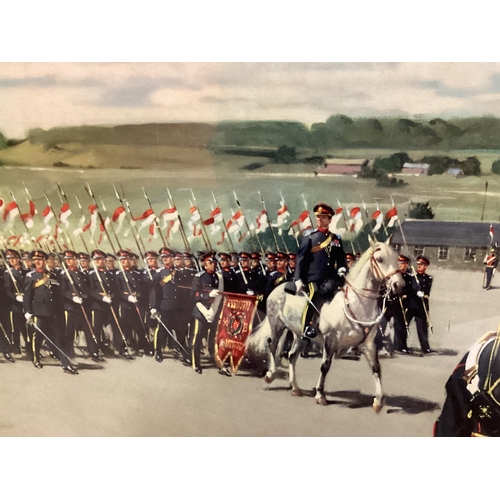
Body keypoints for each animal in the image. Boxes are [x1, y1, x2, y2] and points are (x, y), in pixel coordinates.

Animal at [252, 236, 404, 412]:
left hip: (300, 335)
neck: (356, 303)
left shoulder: (368, 344)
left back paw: (295, 387)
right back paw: (270, 374)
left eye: (396, 258)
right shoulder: (330, 340)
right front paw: (320, 395)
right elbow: (325, 366)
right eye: (379, 259)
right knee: (272, 345)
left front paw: (378, 401)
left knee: (291, 355)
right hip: (277, 325)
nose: (399, 285)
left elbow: (376, 368)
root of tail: (281, 286)